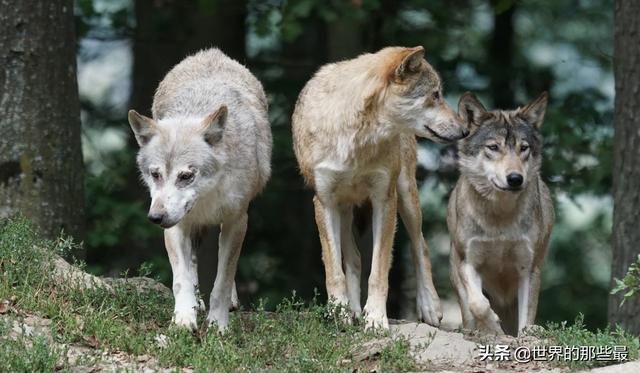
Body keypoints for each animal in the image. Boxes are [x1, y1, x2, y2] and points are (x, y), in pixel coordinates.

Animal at [127, 48, 272, 332]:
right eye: (155, 174)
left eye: (186, 176)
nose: (155, 217)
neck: (206, 198)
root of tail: (210, 52)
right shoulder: (176, 226)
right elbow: (181, 279)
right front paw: (184, 319)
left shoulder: (237, 221)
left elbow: (223, 281)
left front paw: (218, 325)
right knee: (192, 263)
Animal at [292, 45, 468, 328]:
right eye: (435, 95)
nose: (465, 130)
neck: (356, 138)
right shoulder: (324, 202)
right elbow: (334, 270)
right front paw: (340, 312)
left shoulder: (384, 199)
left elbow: (378, 271)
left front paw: (375, 318)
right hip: (344, 209)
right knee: (353, 258)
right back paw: (352, 310)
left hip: (406, 196)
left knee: (421, 246)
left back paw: (429, 306)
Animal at [448, 91, 552, 336]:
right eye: (493, 147)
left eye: (523, 148)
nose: (515, 179)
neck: (500, 218)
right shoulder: (468, 261)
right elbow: (478, 304)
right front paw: (493, 327)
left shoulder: (528, 269)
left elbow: (526, 319)